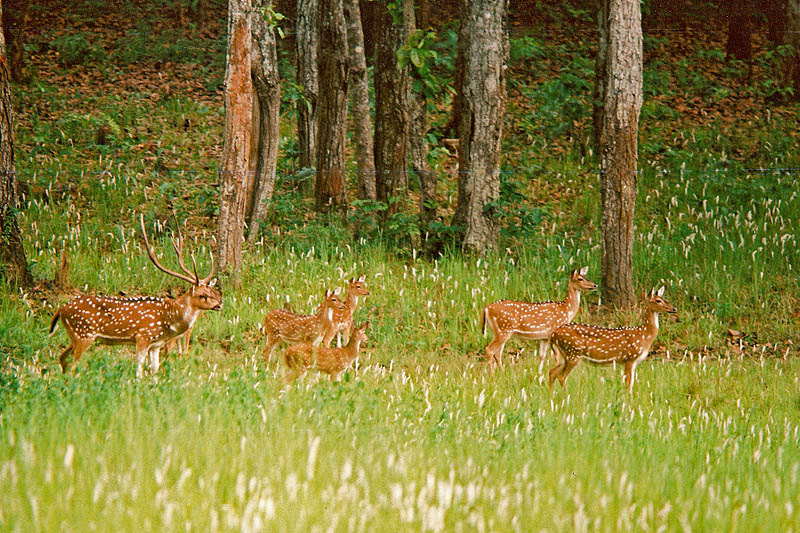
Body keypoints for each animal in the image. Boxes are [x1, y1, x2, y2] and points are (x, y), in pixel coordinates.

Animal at [50, 214, 222, 376]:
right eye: (202, 295)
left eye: (213, 291)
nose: (220, 304)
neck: (170, 318)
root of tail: (61, 310)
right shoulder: (143, 337)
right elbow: (139, 369)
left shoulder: (156, 345)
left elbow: (154, 369)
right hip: (84, 334)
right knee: (73, 367)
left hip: (75, 336)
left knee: (62, 357)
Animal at [548, 286, 680, 390]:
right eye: (658, 300)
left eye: (665, 298)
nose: (674, 309)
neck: (643, 335)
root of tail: (554, 334)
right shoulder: (629, 358)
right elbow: (628, 384)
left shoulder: (634, 361)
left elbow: (631, 383)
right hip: (573, 353)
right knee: (561, 376)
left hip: (564, 355)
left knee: (551, 373)